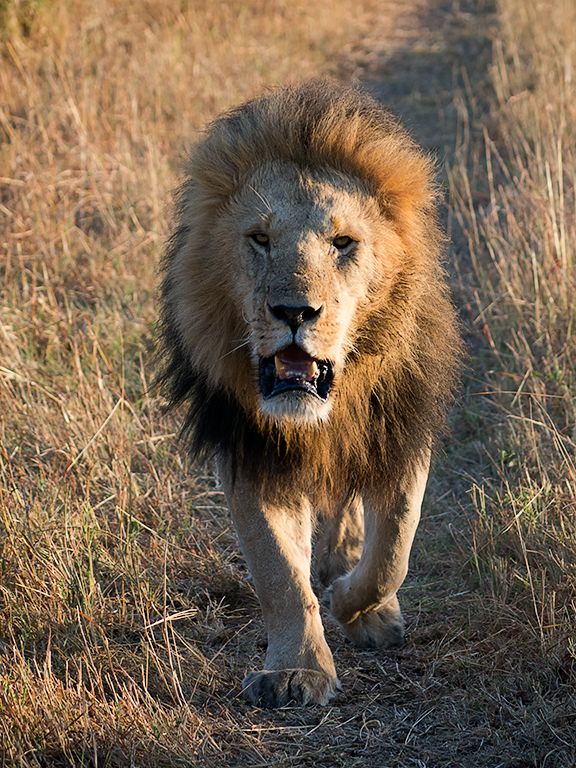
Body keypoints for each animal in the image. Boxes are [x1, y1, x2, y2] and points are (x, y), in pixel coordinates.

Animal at [158, 80, 461, 708]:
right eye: (260, 239)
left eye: (343, 242)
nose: (295, 312)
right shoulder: (250, 451)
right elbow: (279, 571)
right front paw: (297, 670)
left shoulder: (401, 430)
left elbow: (393, 548)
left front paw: (356, 605)